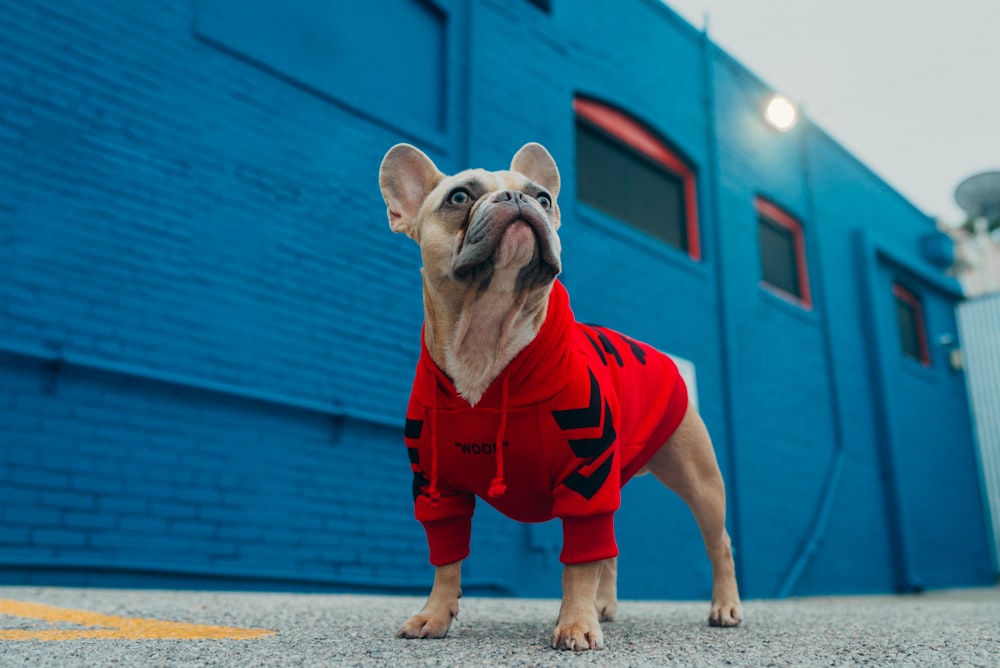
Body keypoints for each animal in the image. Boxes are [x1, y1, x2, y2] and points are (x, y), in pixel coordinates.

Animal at [378, 144, 740, 648]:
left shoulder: (586, 477)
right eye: (459, 196)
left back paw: (724, 606)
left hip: (699, 480)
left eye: (543, 198)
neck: (487, 339)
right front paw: (434, 613)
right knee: (610, 550)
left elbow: (579, 563)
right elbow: (445, 558)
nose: (517, 197)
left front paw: (575, 623)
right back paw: (604, 606)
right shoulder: (436, 487)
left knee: (716, 543)